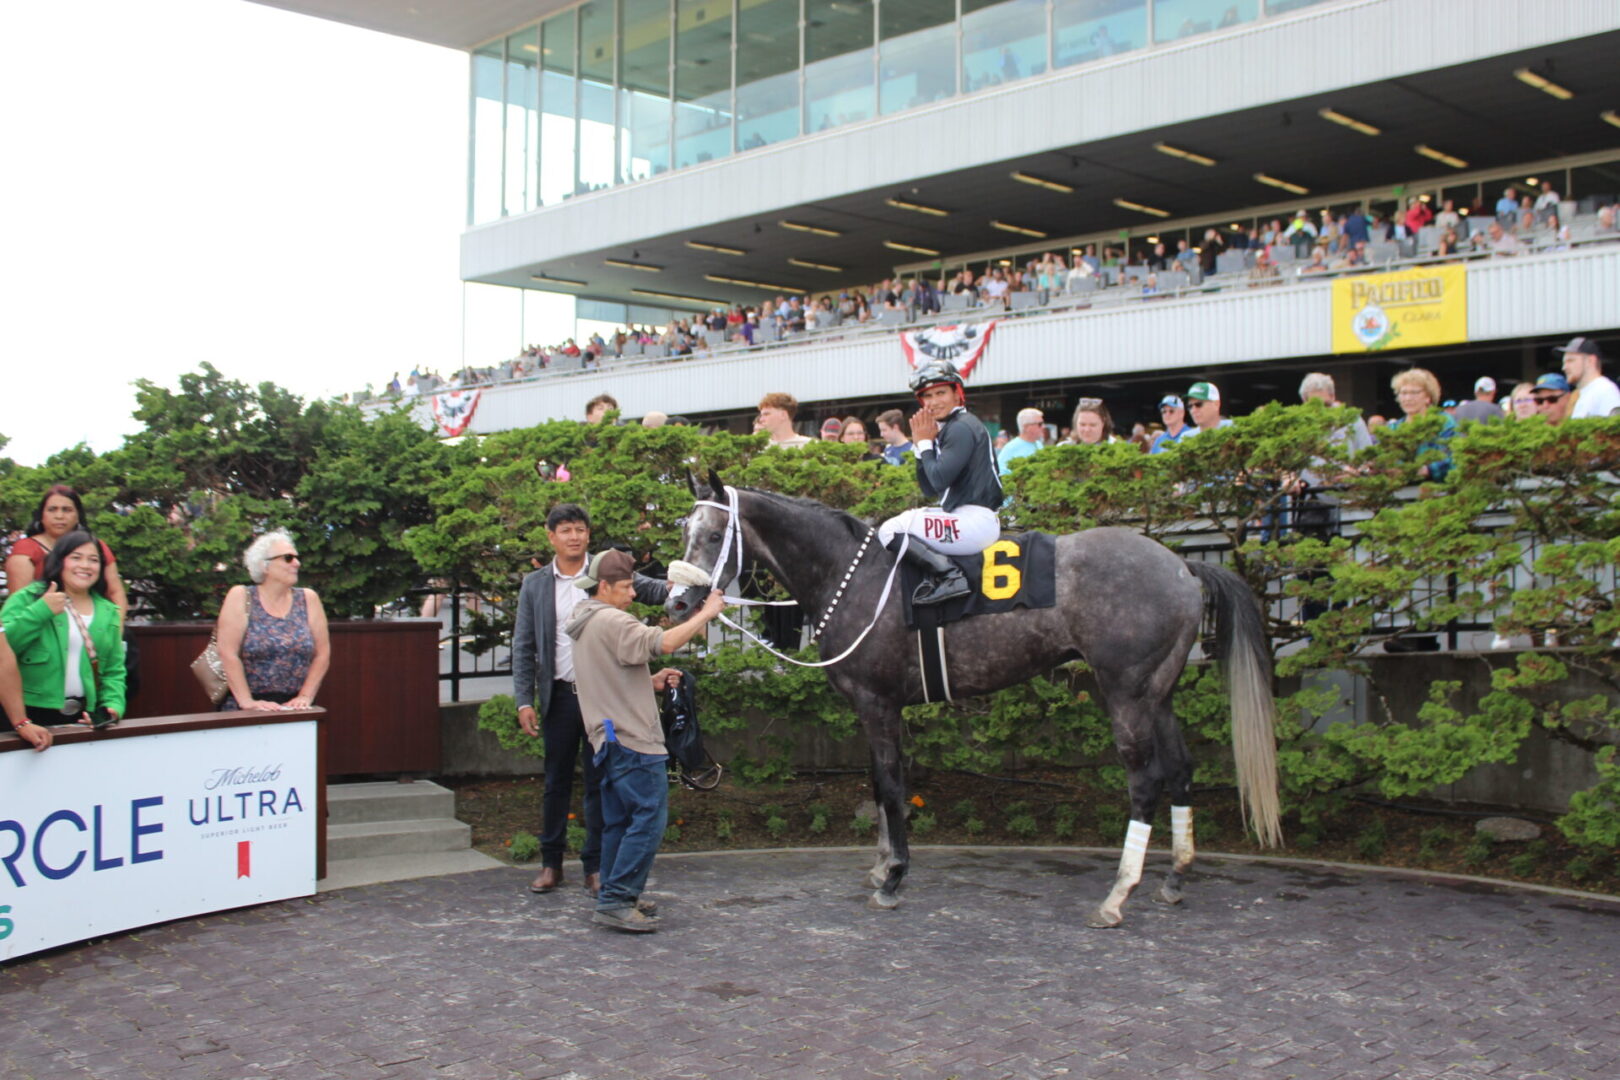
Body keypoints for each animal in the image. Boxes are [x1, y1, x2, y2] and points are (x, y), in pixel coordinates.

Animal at [666, 471, 1281, 928]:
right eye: (684, 529)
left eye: (715, 536)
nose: (678, 602)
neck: (853, 575)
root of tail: (1180, 564)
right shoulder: (876, 709)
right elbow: (879, 785)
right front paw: (883, 866)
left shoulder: (877, 703)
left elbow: (891, 785)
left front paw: (894, 877)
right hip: (1159, 693)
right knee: (1180, 770)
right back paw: (1174, 878)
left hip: (1126, 693)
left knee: (1145, 780)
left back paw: (1117, 895)